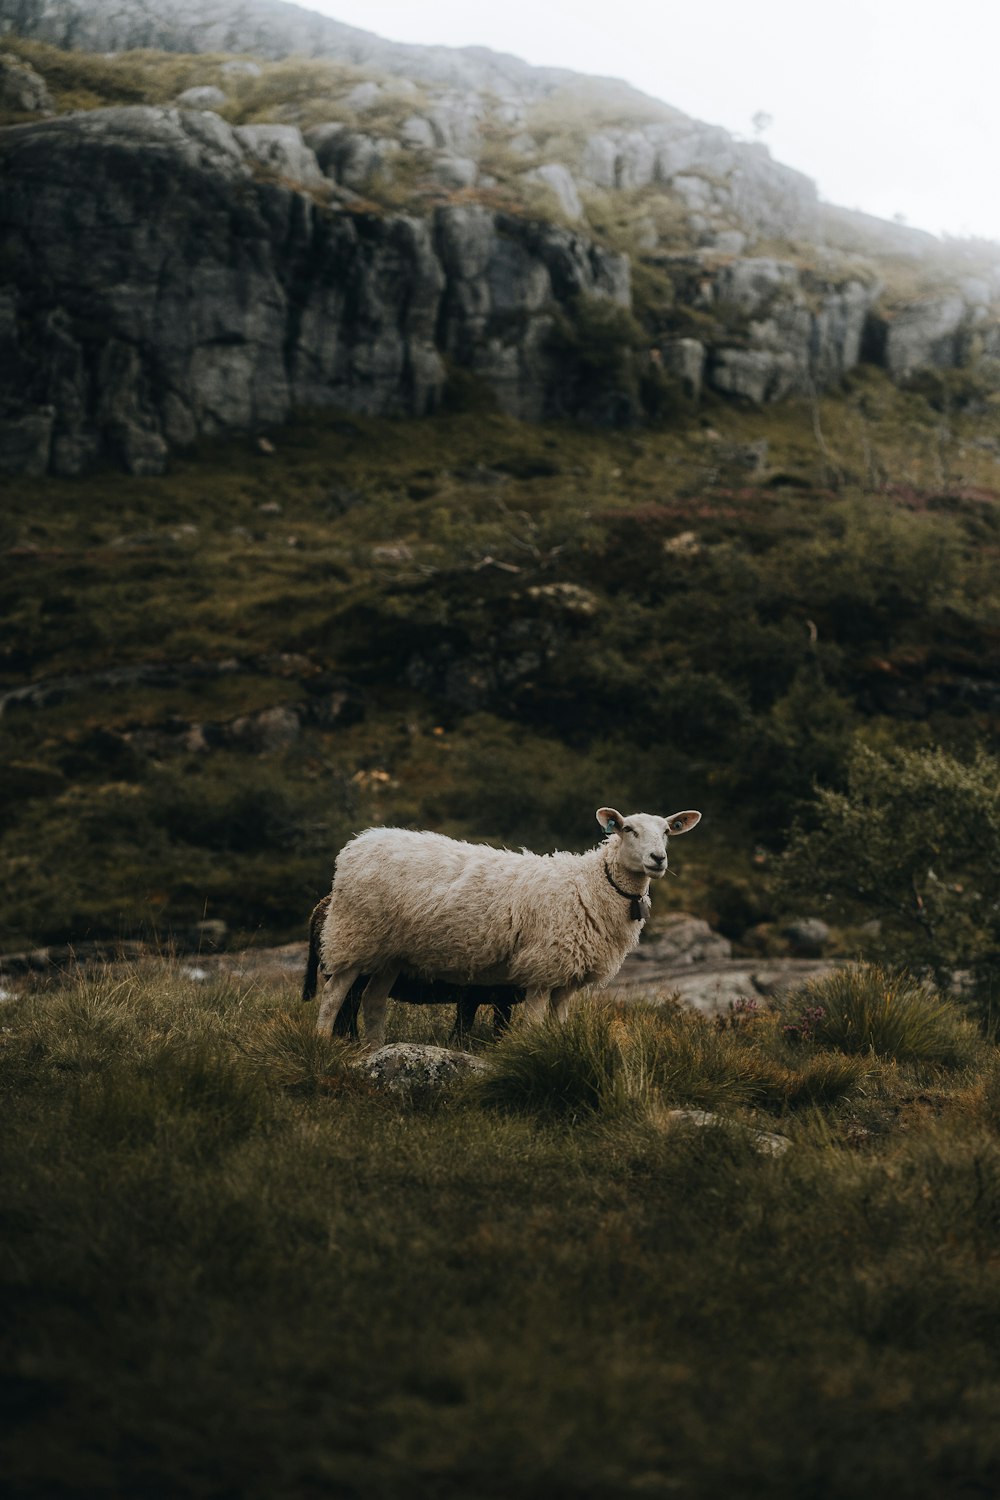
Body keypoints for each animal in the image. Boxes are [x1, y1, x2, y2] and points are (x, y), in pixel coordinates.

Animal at [302, 888, 524, 1044]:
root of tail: (319, 909)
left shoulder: (497, 998)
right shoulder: (473, 995)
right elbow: (464, 1028)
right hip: (353, 977)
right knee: (345, 1013)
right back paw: (352, 1043)